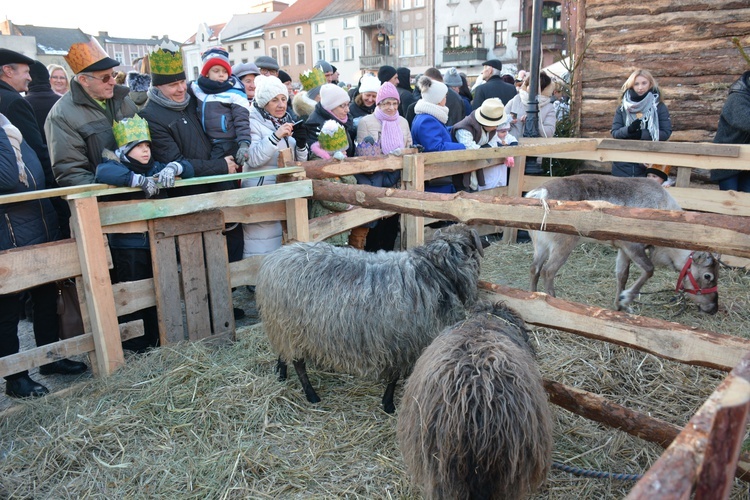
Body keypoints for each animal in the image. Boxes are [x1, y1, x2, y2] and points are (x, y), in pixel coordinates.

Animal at [256, 225, 484, 412]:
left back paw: (281, 373)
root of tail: (273, 259)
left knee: (283, 351)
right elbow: (394, 377)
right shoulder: (402, 343)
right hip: (291, 326)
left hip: (281, 325)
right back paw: (311, 395)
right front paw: (389, 404)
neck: (434, 271)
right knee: (299, 363)